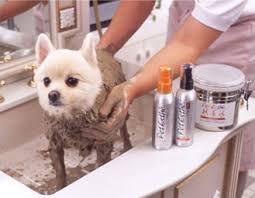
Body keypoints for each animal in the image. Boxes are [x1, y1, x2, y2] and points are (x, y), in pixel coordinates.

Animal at [33, 33, 131, 190]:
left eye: (72, 81)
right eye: (46, 81)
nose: (52, 94)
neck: (72, 116)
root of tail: (104, 51)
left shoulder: (103, 140)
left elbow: (101, 164)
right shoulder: (55, 143)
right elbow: (60, 172)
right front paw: (60, 187)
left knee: (124, 130)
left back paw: (127, 147)